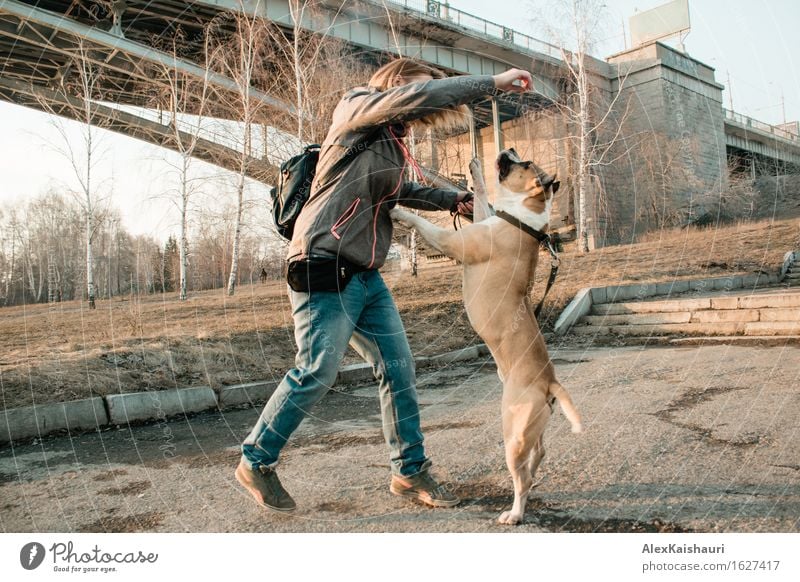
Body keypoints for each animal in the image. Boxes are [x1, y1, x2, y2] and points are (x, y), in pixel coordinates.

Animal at [392, 148, 580, 528]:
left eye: (524, 164)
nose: (507, 151)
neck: (523, 218)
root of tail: (549, 382)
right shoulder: (482, 215)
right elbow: (479, 198)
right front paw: (474, 170)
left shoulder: (454, 242)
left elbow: (426, 226)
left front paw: (398, 211)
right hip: (532, 430)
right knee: (538, 454)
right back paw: (533, 475)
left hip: (513, 431)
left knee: (520, 480)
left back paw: (514, 513)